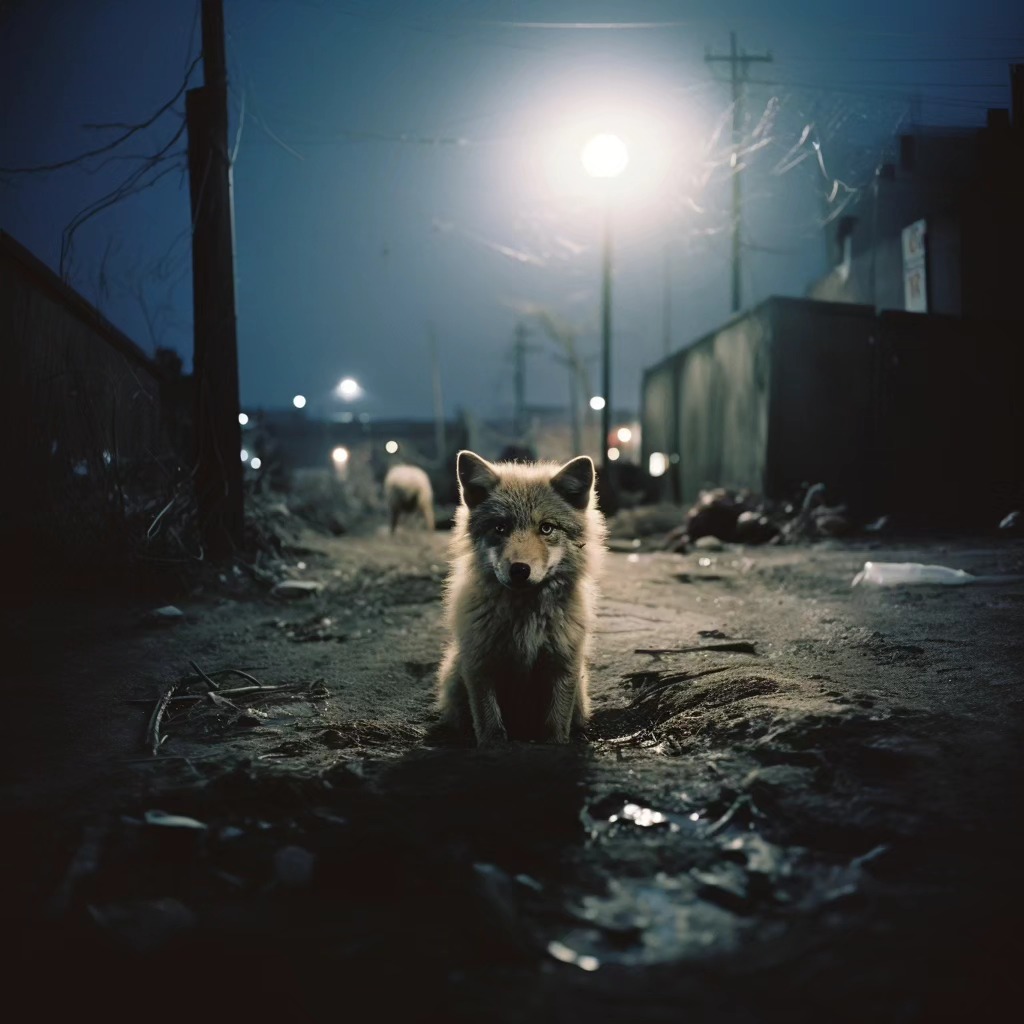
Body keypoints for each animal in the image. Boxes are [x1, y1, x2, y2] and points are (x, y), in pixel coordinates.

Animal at [436, 449, 606, 746]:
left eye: (547, 528)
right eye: (500, 528)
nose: (519, 570)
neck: (525, 622)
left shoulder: (564, 664)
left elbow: (556, 725)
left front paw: (556, 745)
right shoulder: (479, 664)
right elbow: (490, 726)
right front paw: (494, 746)